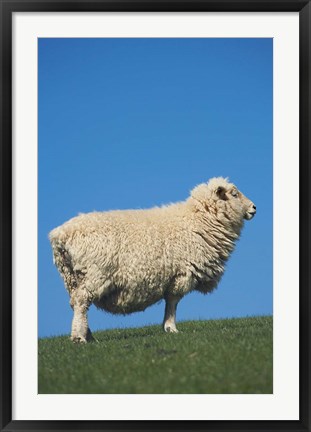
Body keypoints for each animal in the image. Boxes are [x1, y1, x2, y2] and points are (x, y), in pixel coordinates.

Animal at [50, 177, 258, 342]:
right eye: (234, 194)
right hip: (95, 274)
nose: (254, 208)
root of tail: (61, 234)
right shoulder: (181, 273)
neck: (197, 221)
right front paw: (171, 327)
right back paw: (79, 337)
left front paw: (168, 327)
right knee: (81, 302)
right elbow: (173, 301)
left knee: (76, 303)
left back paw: (88, 335)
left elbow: (170, 301)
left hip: (71, 277)